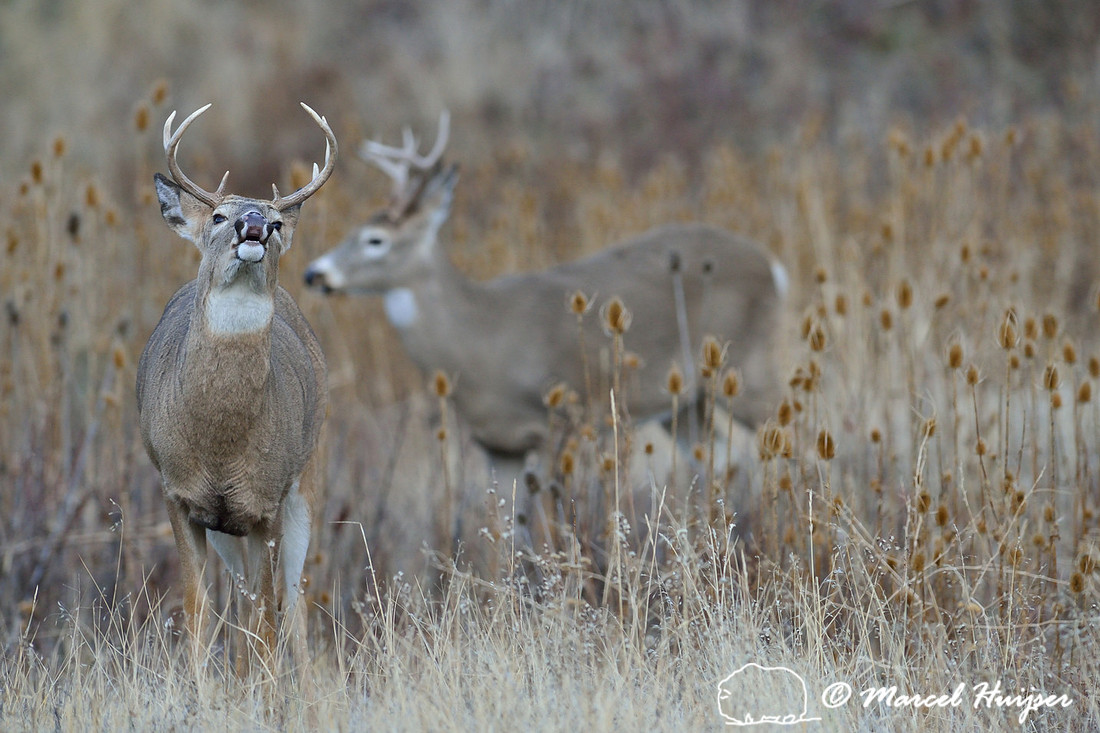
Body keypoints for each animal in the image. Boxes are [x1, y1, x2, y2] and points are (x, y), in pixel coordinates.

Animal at [137, 102, 335, 678]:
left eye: (276, 221)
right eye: (219, 217)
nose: (254, 226)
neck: (221, 446)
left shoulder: (265, 501)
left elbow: (269, 617)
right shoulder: (179, 493)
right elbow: (198, 609)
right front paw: (201, 690)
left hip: (306, 483)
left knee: (290, 601)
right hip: (230, 530)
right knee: (246, 597)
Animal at [303, 113, 787, 532]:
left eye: (375, 240)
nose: (314, 273)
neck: (477, 338)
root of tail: (773, 265)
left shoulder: (559, 418)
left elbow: (554, 517)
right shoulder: (498, 443)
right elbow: (509, 525)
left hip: (751, 363)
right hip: (684, 400)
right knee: (721, 457)